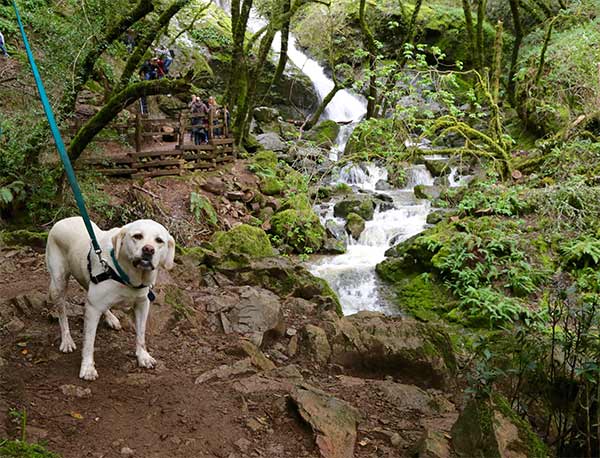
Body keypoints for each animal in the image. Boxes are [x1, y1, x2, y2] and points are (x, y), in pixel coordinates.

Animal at [45, 216, 175, 382]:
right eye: (137, 236)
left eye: (159, 240)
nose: (148, 249)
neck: (126, 275)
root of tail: (62, 220)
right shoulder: (93, 308)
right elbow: (89, 342)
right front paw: (88, 368)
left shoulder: (142, 304)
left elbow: (141, 335)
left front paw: (143, 357)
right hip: (59, 283)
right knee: (62, 313)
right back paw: (67, 340)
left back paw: (111, 318)